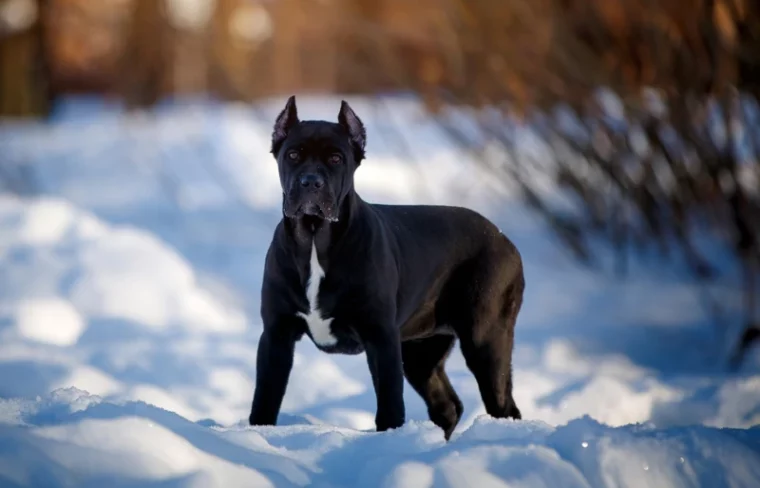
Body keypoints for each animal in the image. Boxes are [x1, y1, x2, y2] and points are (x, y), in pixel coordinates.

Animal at [249, 95, 524, 438]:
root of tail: (504, 239)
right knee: (448, 406)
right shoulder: (276, 334)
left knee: (503, 406)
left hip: (486, 339)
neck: (314, 240)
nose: (310, 181)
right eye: (293, 154)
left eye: (337, 158)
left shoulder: (380, 337)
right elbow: (265, 398)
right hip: (420, 352)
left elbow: (390, 403)